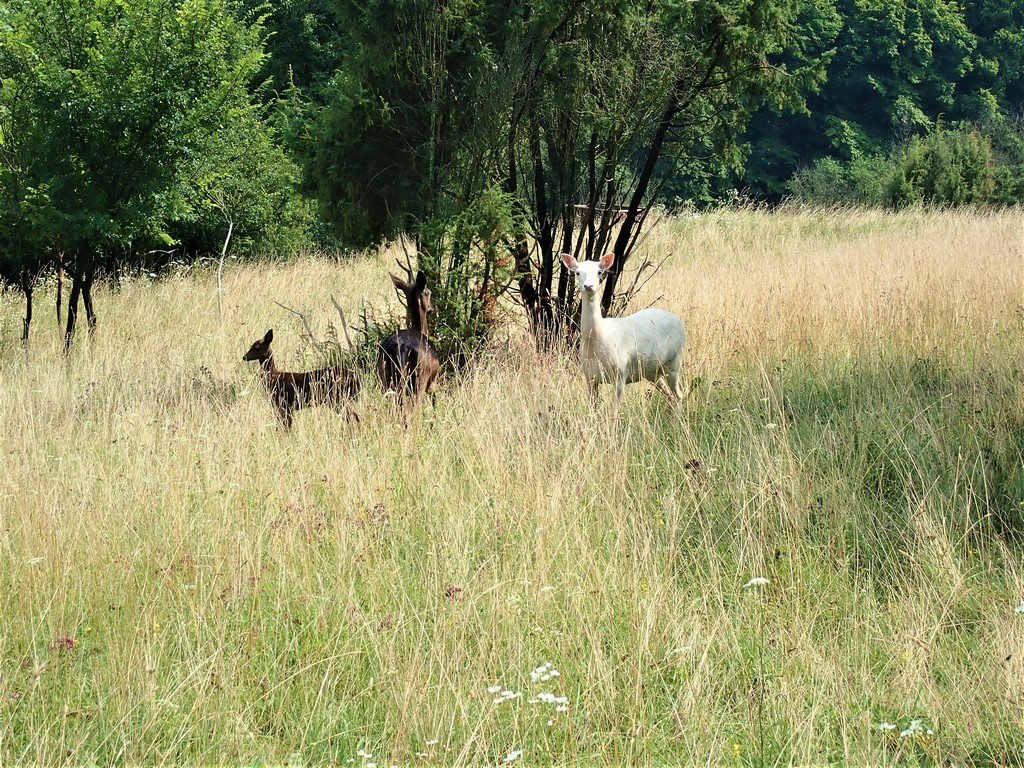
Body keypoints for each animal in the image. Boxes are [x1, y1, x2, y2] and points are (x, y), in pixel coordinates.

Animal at [376, 268, 440, 417]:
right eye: (428, 292)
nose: (431, 308)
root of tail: (401, 346)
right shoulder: (432, 384)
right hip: (419, 381)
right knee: (408, 413)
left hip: (386, 380)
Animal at [561, 250, 688, 409]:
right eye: (577, 272)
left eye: (599, 272)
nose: (589, 286)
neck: (597, 340)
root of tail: (680, 323)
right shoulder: (589, 377)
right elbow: (592, 409)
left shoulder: (621, 374)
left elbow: (613, 411)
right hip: (652, 372)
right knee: (670, 396)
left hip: (674, 361)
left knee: (679, 395)